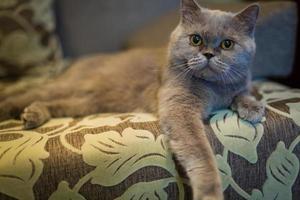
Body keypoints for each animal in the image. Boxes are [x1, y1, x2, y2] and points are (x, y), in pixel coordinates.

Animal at [0, 0, 264, 198]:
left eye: (227, 44)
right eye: (195, 39)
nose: (208, 54)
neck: (213, 88)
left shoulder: (239, 84)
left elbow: (243, 91)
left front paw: (253, 108)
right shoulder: (178, 106)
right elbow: (201, 152)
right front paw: (209, 193)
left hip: (85, 102)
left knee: (53, 104)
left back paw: (33, 115)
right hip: (67, 87)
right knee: (24, 95)